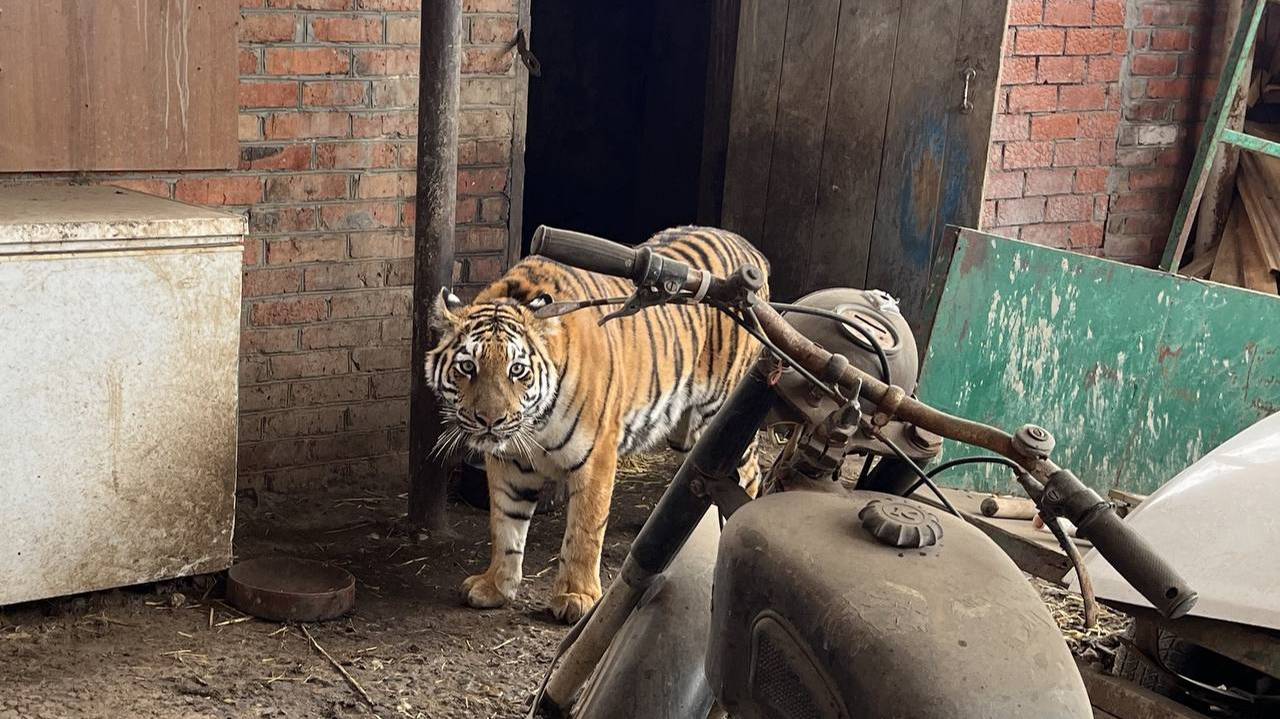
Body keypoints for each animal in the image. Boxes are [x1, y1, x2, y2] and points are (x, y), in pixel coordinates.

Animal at [427, 225, 768, 621]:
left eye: (517, 370)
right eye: (468, 367)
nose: (489, 421)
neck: (535, 424)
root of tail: (749, 248)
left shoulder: (596, 457)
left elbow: (584, 530)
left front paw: (576, 597)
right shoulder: (508, 463)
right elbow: (505, 525)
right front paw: (495, 585)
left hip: (726, 412)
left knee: (749, 474)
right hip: (691, 430)